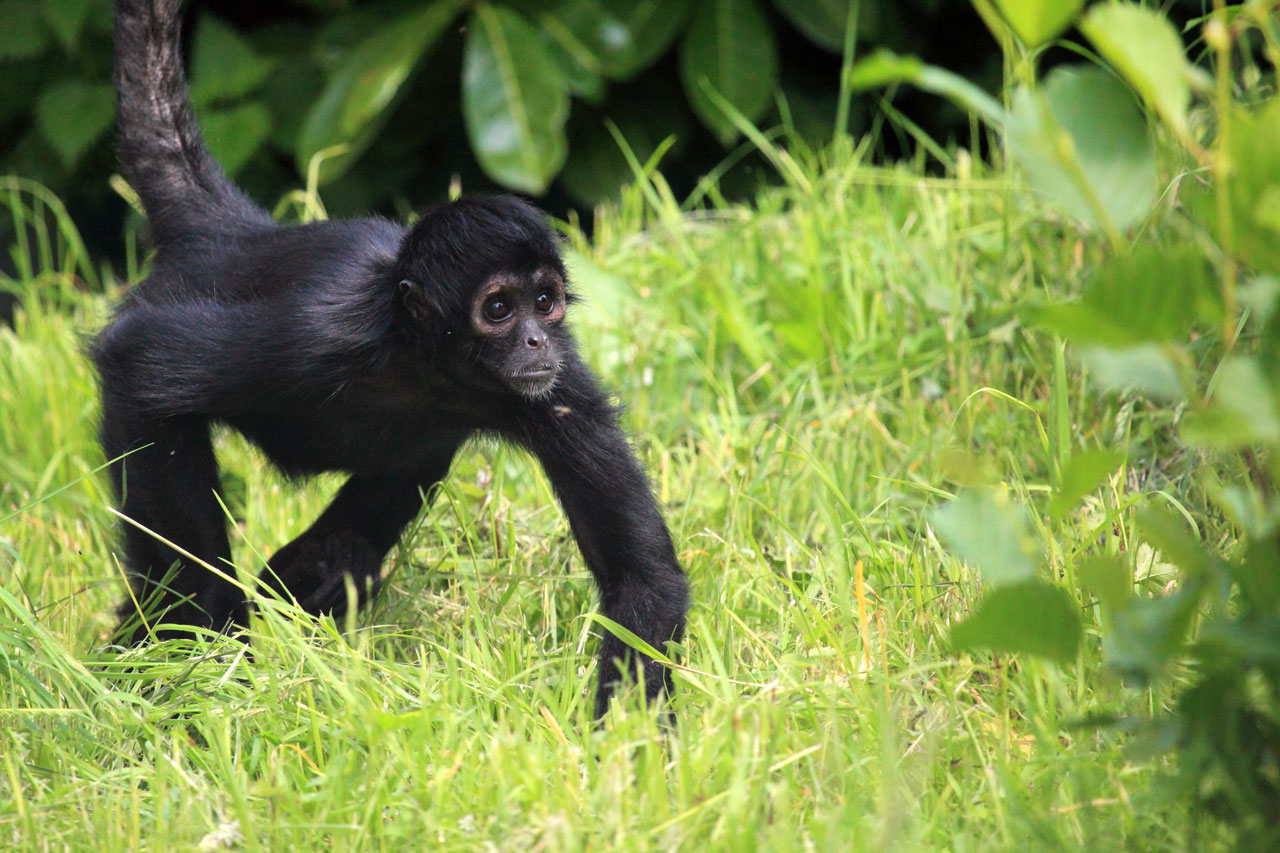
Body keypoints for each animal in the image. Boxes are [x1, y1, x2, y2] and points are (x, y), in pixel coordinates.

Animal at [96, 0, 691, 712]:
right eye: (499, 308)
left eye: (545, 301)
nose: (535, 340)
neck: (421, 366)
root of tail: (236, 236)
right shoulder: (320, 332)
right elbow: (136, 363)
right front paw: (210, 651)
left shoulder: (560, 387)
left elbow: (643, 580)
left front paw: (622, 742)